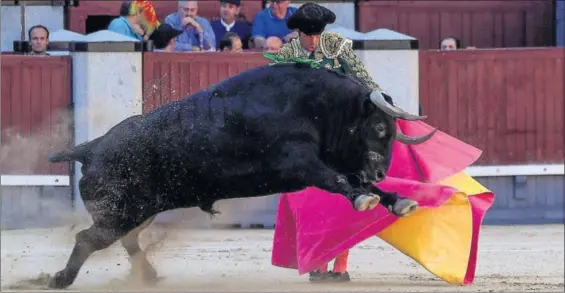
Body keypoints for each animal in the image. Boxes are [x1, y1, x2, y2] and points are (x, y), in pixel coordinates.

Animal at [40, 63, 436, 288]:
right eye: (379, 128)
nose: (381, 170)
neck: (318, 107)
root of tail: (90, 148)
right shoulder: (301, 162)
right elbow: (343, 183)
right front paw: (367, 199)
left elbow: (357, 183)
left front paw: (400, 201)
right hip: (121, 211)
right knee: (88, 239)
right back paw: (59, 280)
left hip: (139, 210)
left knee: (125, 240)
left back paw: (148, 276)